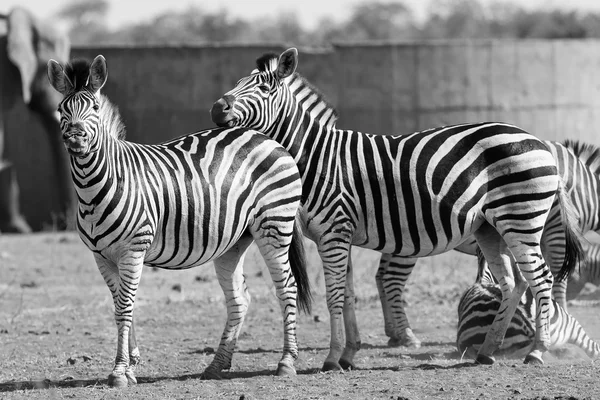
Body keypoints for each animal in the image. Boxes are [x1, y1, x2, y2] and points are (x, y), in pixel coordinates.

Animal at [45, 54, 314, 386]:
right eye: (61, 110)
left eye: (94, 107)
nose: (74, 137)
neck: (96, 185)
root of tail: (266, 138)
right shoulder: (101, 255)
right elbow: (120, 303)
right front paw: (132, 364)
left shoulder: (133, 249)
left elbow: (124, 307)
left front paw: (120, 371)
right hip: (234, 241)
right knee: (239, 297)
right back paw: (216, 366)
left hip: (274, 226)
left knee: (287, 287)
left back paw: (286, 362)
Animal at [209, 48, 584, 370]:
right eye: (240, 81)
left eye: (263, 87)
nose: (216, 108)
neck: (318, 157)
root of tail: (538, 141)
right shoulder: (336, 235)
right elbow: (347, 295)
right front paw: (349, 354)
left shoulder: (334, 231)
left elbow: (334, 296)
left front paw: (331, 358)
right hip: (490, 227)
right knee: (514, 282)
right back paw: (488, 351)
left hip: (522, 219)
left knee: (542, 278)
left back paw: (537, 351)